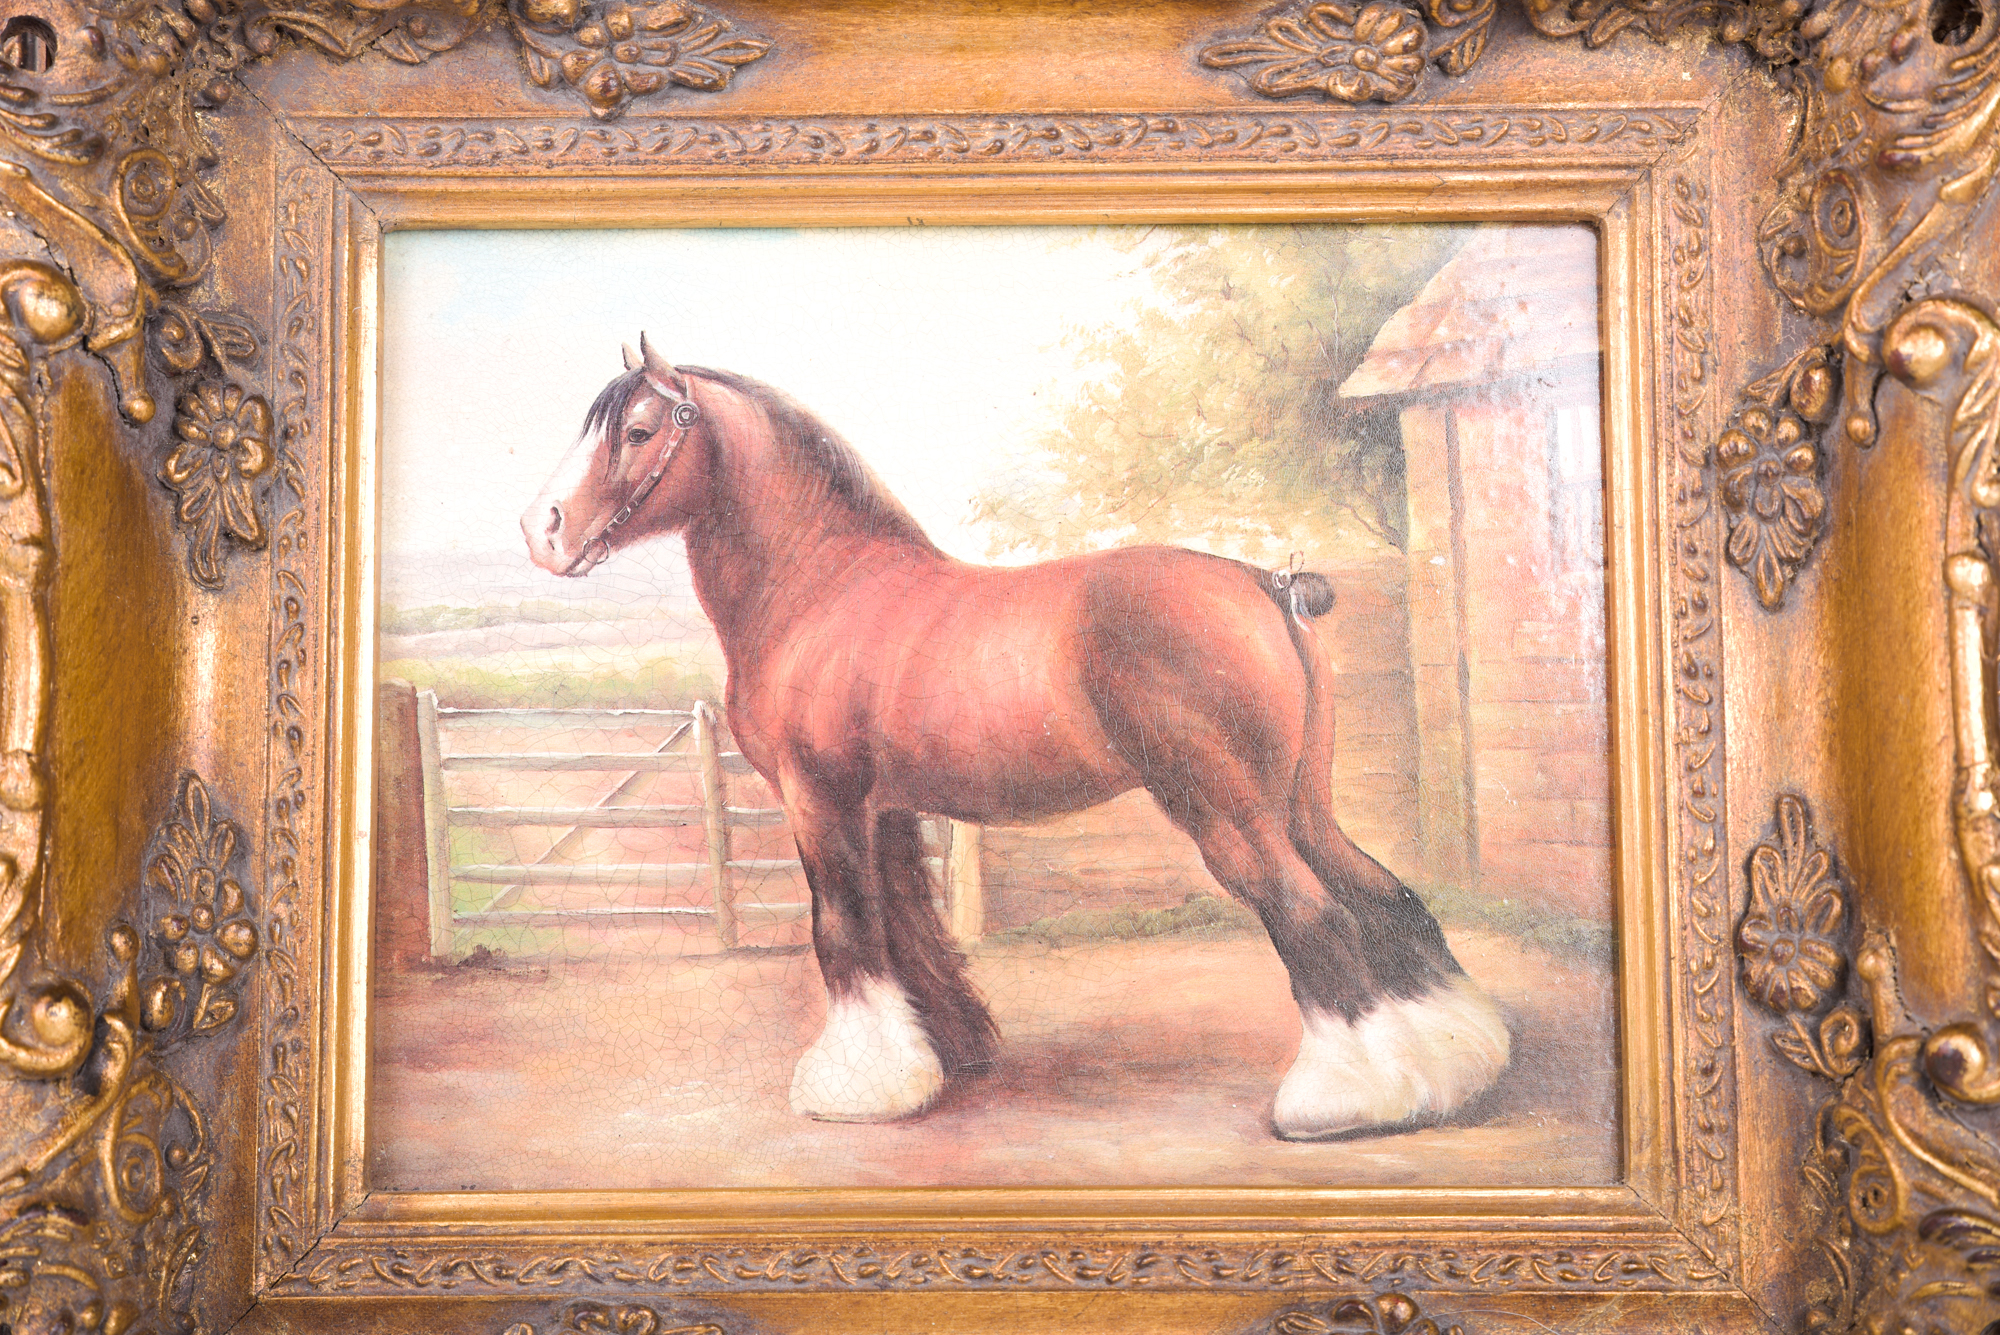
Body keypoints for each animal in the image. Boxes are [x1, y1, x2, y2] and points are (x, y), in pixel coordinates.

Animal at [520, 335, 1511, 1140]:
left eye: (638, 429)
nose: (543, 530)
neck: (823, 586)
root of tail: (1265, 584)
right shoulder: (884, 809)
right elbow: (910, 929)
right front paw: (946, 1055)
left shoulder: (819, 800)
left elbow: (843, 930)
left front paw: (856, 1085)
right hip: (1298, 801)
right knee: (1384, 894)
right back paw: (1452, 1062)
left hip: (1227, 811)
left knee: (1313, 913)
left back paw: (1338, 1101)